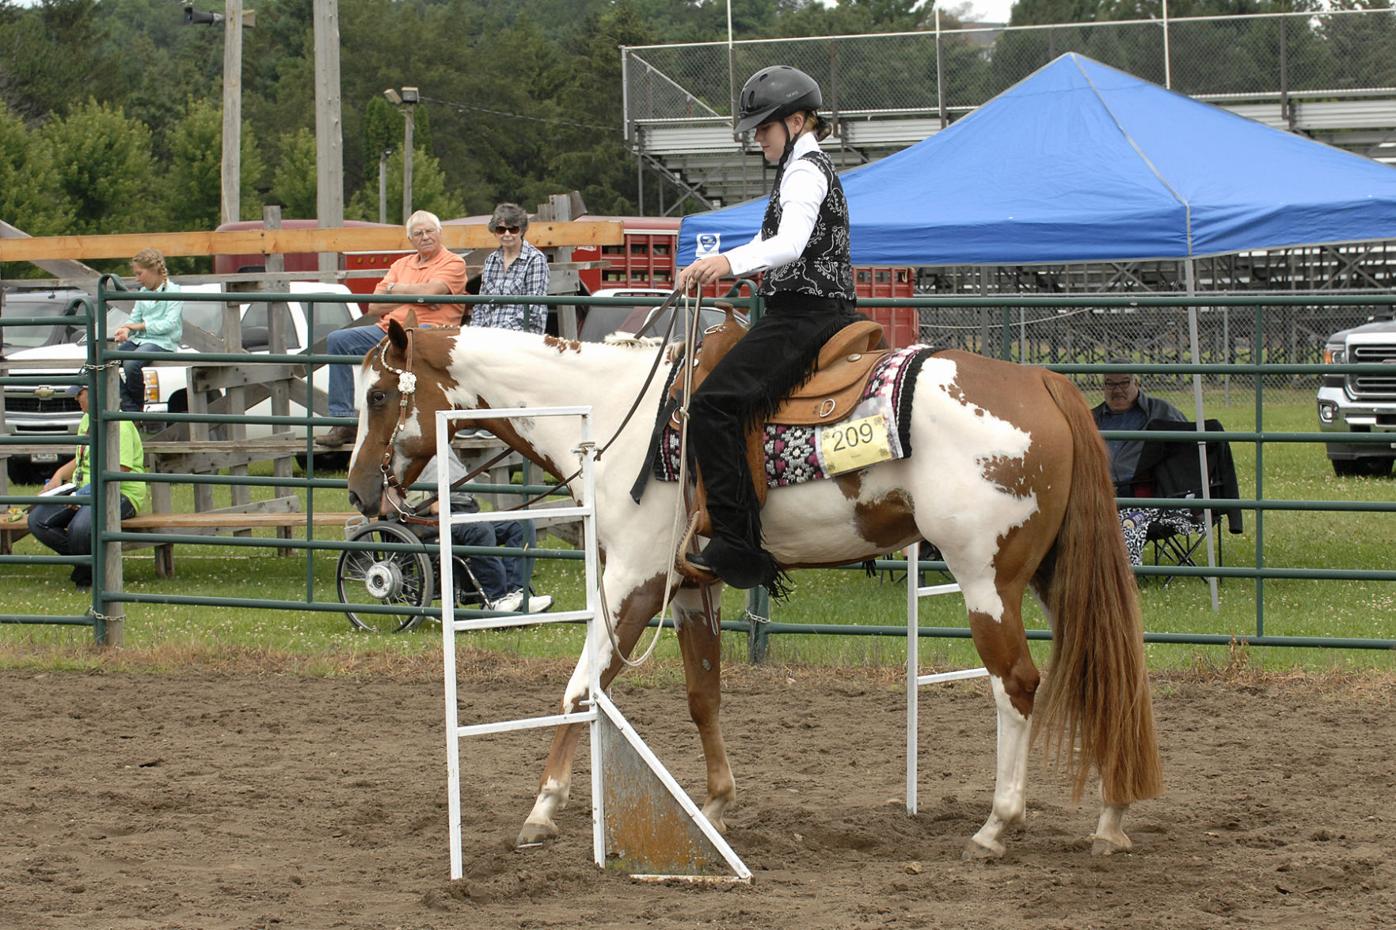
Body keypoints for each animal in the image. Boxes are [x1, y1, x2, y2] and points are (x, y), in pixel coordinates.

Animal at [344, 318, 1163, 859]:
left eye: (380, 395)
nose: (357, 492)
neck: (615, 416)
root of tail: (1041, 380)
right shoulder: (686, 586)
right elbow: (703, 692)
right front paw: (714, 804)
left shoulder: (632, 579)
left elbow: (581, 690)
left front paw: (543, 810)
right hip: (1055, 574)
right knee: (1103, 673)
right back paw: (1112, 819)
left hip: (987, 579)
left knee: (1017, 685)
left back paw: (998, 825)